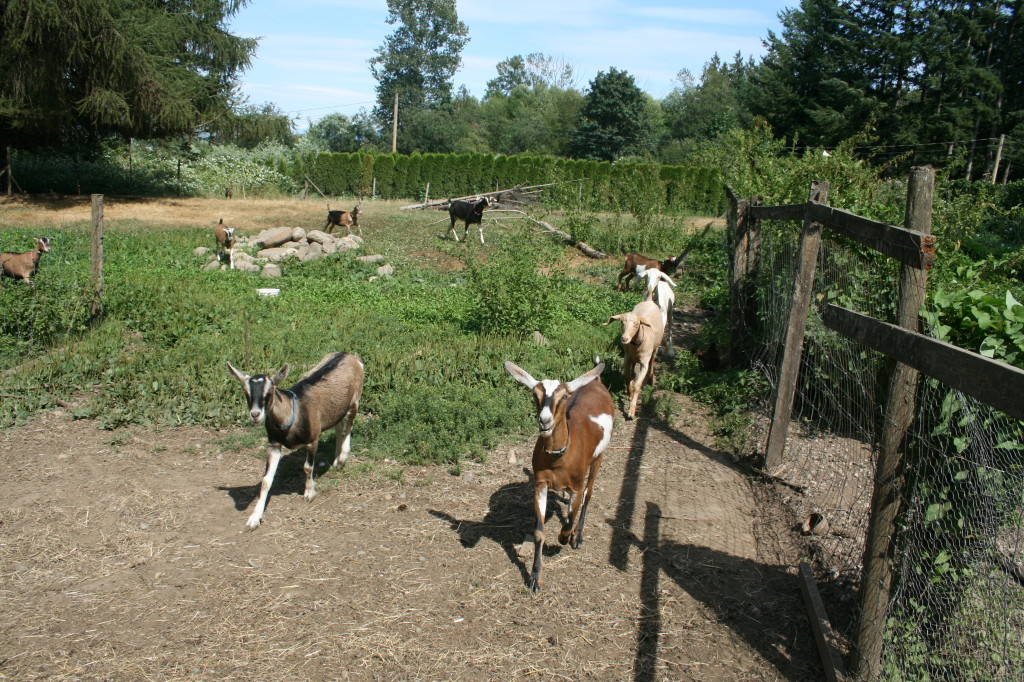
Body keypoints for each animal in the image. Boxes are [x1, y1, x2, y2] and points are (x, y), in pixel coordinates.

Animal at [227, 352, 364, 530]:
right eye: (246, 391)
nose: (255, 415)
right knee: (339, 425)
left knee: (350, 423)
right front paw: (254, 519)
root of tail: (350, 356)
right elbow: (266, 481)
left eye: (270, 391)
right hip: (335, 410)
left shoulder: (313, 439)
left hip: (355, 399)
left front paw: (309, 493)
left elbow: (307, 467)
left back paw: (343, 457)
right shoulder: (274, 445)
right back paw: (335, 460)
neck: (293, 411)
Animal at [505, 359, 615, 593]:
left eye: (564, 396)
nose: (544, 421)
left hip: (598, 458)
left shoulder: (576, 486)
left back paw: (578, 537)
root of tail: (596, 382)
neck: (559, 457)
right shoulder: (541, 485)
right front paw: (535, 578)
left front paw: (565, 538)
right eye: (534, 394)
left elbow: (570, 520)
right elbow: (539, 532)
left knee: (589, 495)